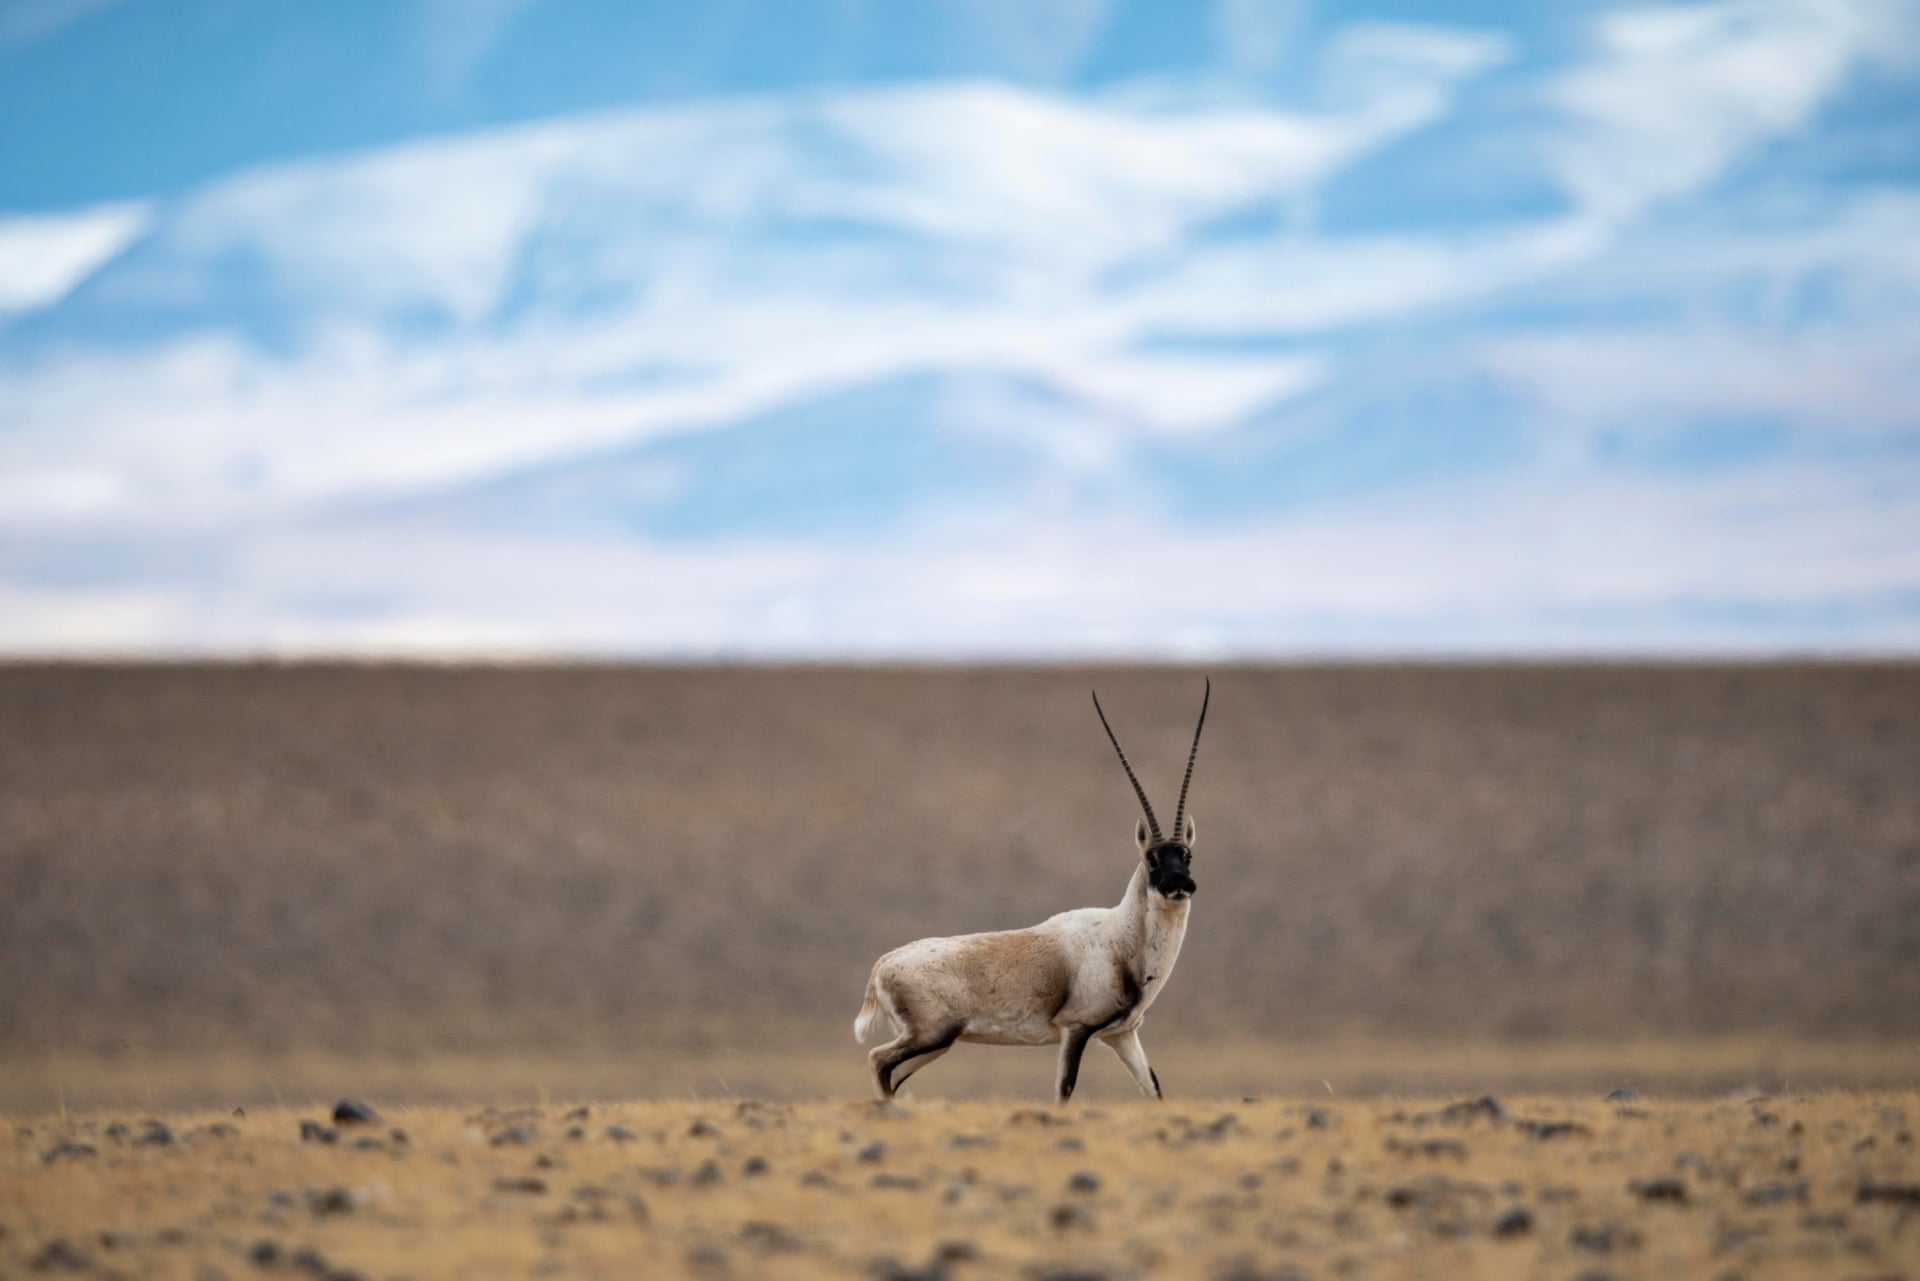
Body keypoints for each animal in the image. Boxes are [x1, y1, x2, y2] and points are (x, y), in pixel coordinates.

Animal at [852, 679, 1205, 1106]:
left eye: (1186, 854)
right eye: (1152, 857)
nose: (1179, 884)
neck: (1122, 939)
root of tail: (881, 966)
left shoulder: (1122, 1034)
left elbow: (1153, 1088)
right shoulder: (1076, 1028)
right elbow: (1065, 1089)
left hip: (935, 1043)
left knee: (891, 1073)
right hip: (932, 1034)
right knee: (878, 1060)